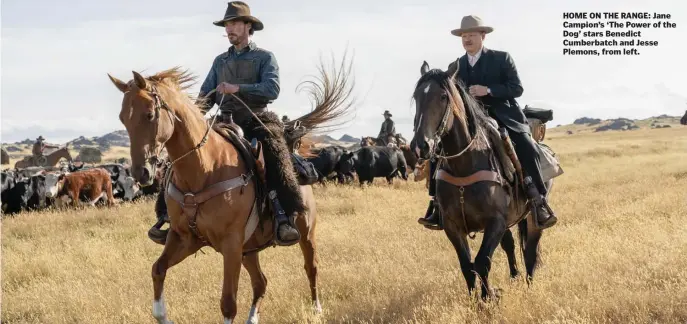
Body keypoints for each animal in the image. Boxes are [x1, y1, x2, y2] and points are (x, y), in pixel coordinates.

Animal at [109, 54, 354, 322]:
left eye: (150, 114)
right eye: (122, 118)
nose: (141, 173)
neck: (205, 168)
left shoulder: (231, 244)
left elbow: (228, 302)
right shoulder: (184, 238)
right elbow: (157, 271)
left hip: (305, 232)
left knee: (311, 267)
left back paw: (316, 308)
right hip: (250, 249)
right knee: (261, 282)